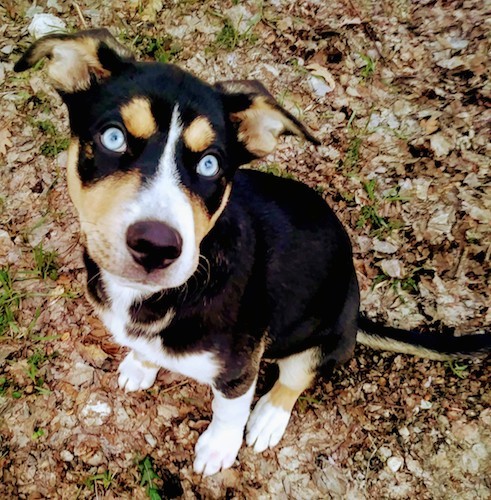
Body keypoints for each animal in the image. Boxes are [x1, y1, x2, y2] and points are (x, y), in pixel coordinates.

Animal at [13, 29, 490, 478]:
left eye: (210, 164)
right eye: (113, 137)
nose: (156, 245)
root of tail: (357, 316)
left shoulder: (240, 368)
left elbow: (229, 409)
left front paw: (218, 449)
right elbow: (145, 347)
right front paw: (141, 364)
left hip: (327, 336)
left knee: (295, 379)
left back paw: (268, 419)